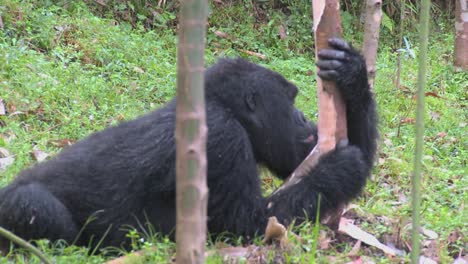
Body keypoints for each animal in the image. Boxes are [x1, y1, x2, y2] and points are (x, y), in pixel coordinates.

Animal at [0, 38, 376, 251]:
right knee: (33, 203)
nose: (303, 119)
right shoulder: (223, 138)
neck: (220, 107)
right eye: (290, 101)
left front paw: (351, 73)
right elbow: (253, 225)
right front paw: (341, 168)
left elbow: (300, 161)